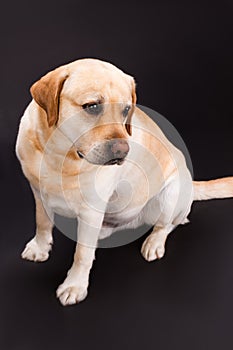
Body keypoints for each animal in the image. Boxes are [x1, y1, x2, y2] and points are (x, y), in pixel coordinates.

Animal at [15, 58, 233, 304]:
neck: (57, 154)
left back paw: (154, 242)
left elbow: (82, 254)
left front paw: (75, 285)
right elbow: (42, 223)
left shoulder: (91, 209)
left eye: (127, 110)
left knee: (169, 224)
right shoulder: (38, 192)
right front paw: (40, 248)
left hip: (170, 195)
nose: (122, 151)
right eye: (92, 106)